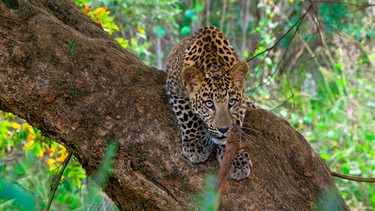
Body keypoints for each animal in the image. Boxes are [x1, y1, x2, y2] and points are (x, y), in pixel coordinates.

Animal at [167, 25, 256, 180]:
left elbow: (236, 125)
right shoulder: (174, 90)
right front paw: (195, 144)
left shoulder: (241, 102)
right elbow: (189, 115)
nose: (223, 130)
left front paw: (236, 158)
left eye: (231, 102)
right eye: (209, 104)